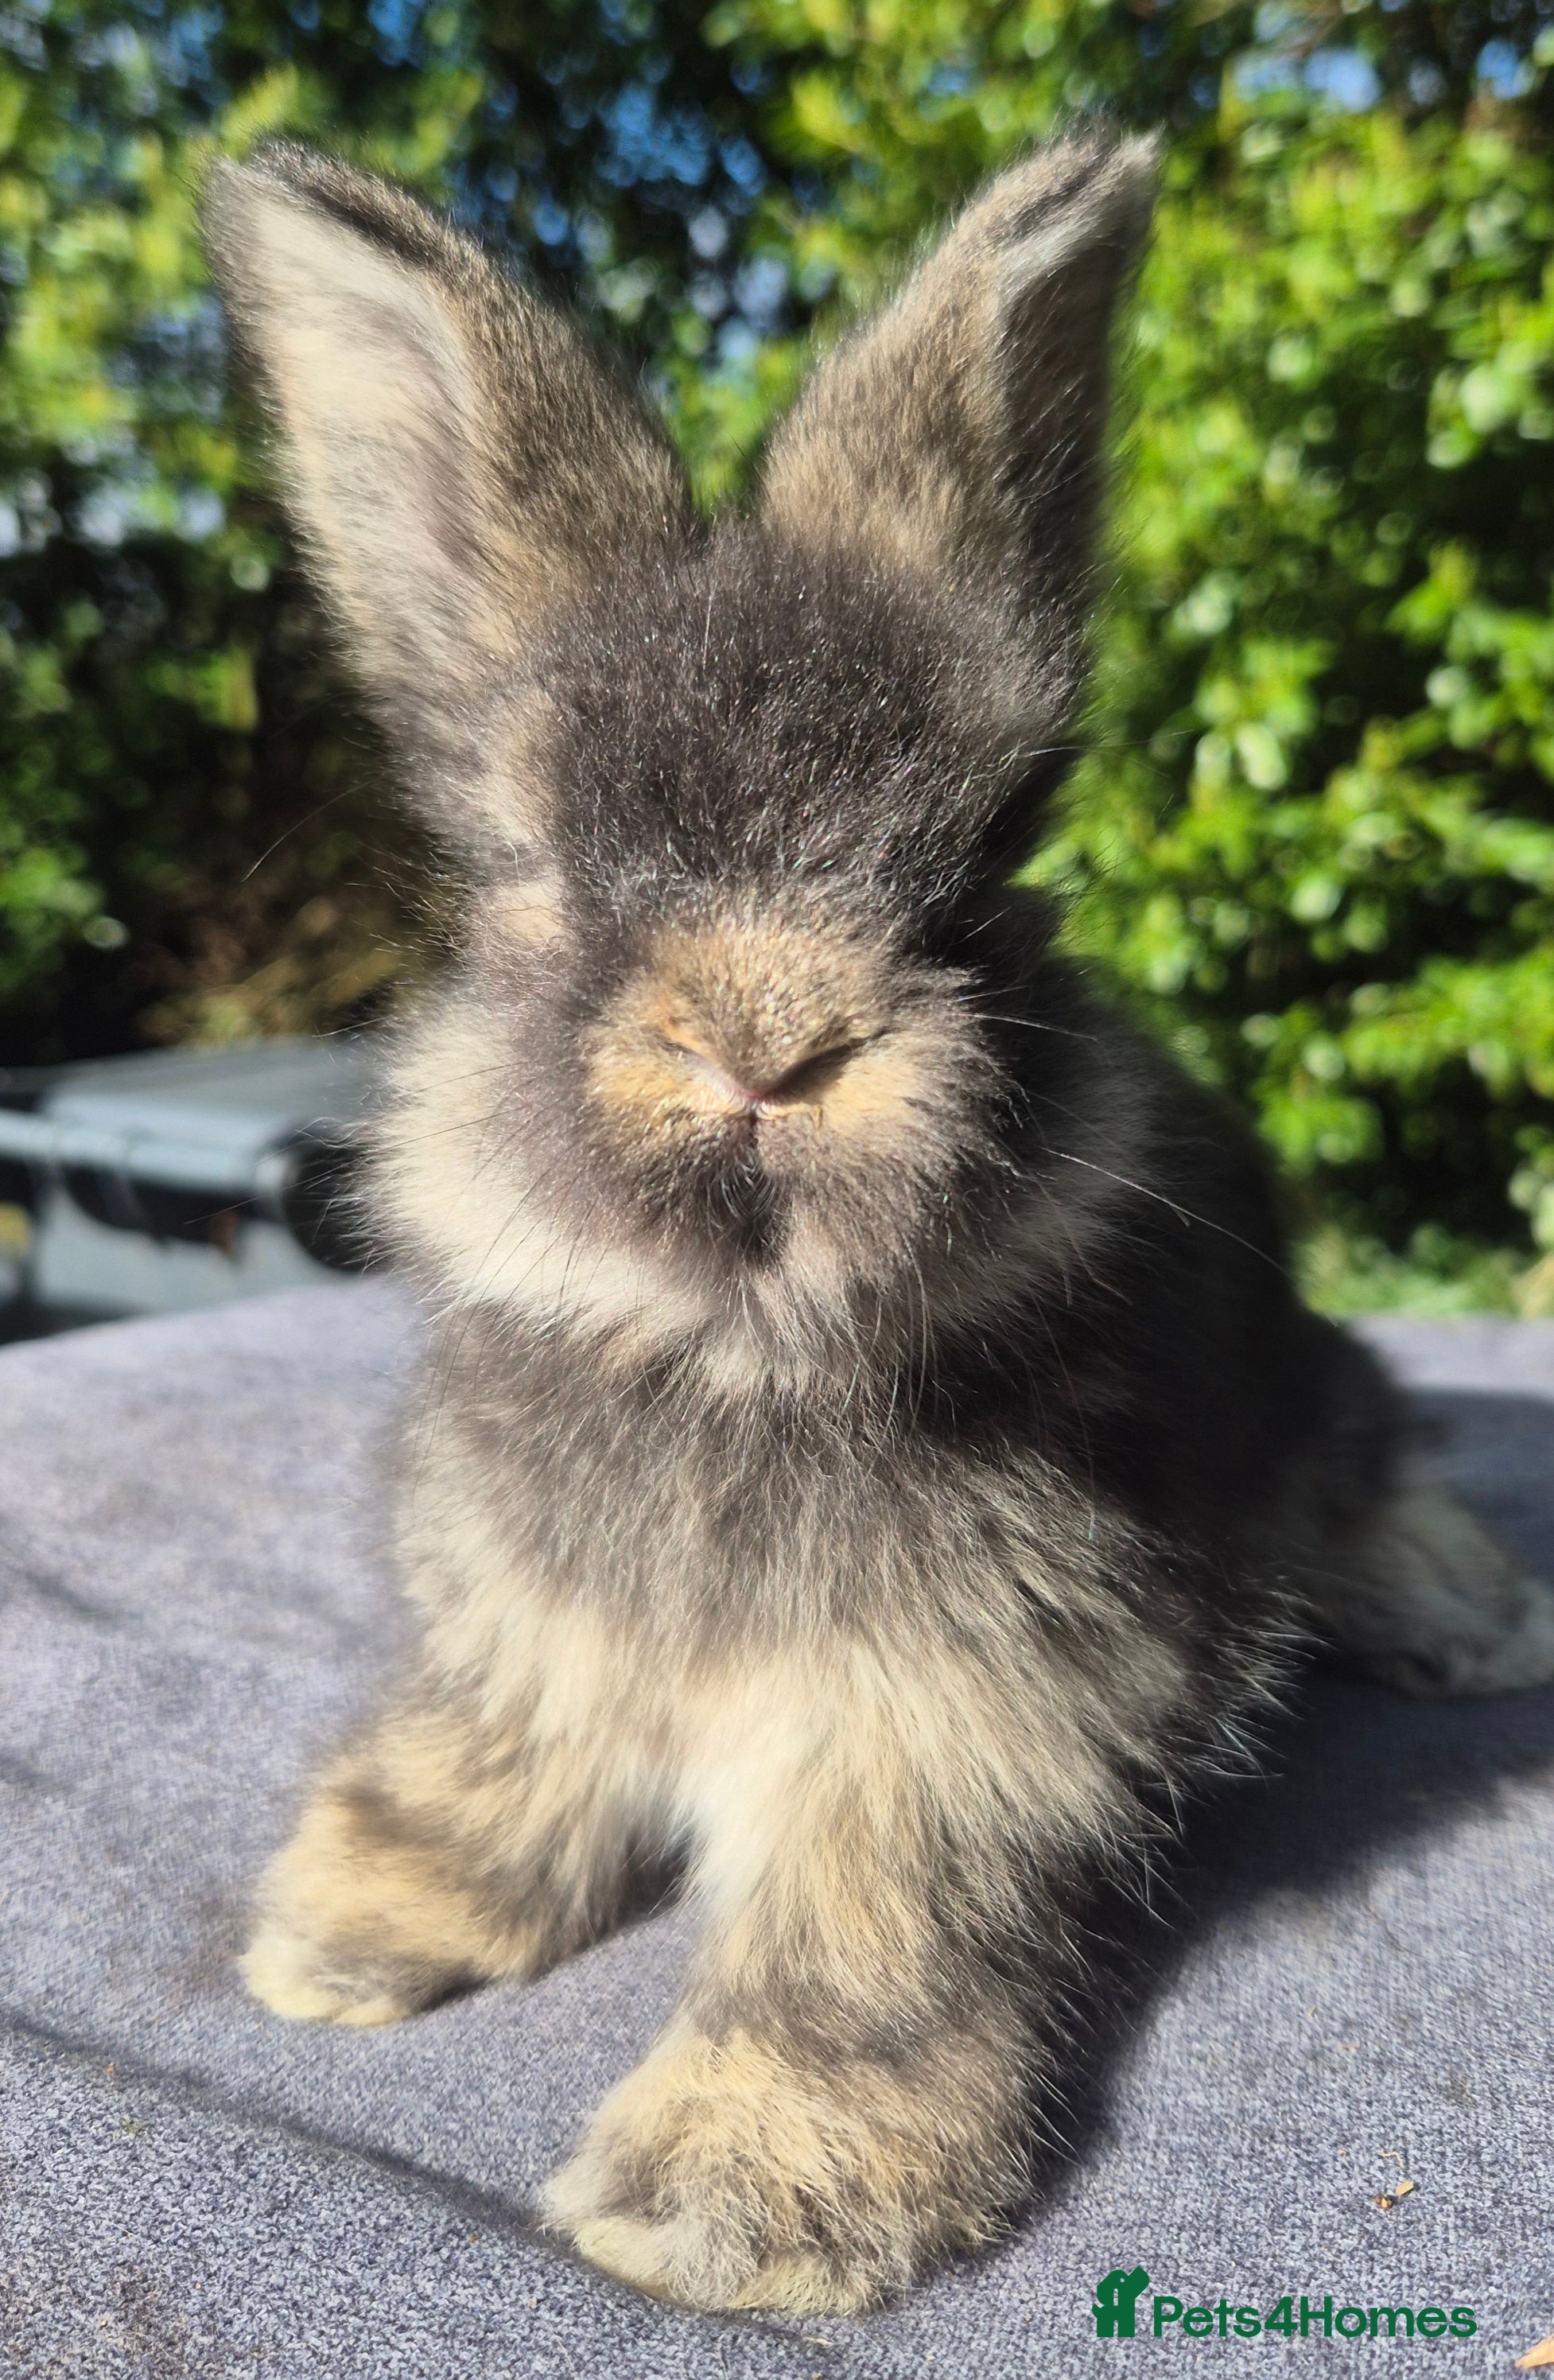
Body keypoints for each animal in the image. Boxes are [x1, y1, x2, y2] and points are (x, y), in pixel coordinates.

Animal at [203, 131, 1554, 2316]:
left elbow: (861, 1934)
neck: (739, 1348)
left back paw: (1469, 1623)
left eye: (982, 870)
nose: (766, 1036)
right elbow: (505, 1751)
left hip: (1303, 1386)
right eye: (543, 870)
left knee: (1373, 1457)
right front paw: (349, 1924)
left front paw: (732, 2202)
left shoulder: (959, 1717)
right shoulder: (529, 1623)